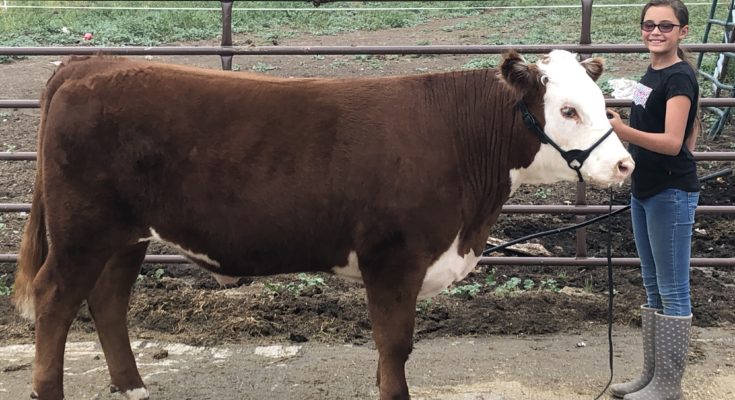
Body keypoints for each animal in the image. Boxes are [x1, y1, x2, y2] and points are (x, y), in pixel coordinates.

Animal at [12, 49, 633, 400]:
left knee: (108, 301)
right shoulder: (393, 258)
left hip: (126, 235)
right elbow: (394, 347)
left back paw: (134, 388)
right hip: (81, 231)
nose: (625, 164)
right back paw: (52, 391)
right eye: (568, 110)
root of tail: (89, 64)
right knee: (55, 301)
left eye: (601, 102)